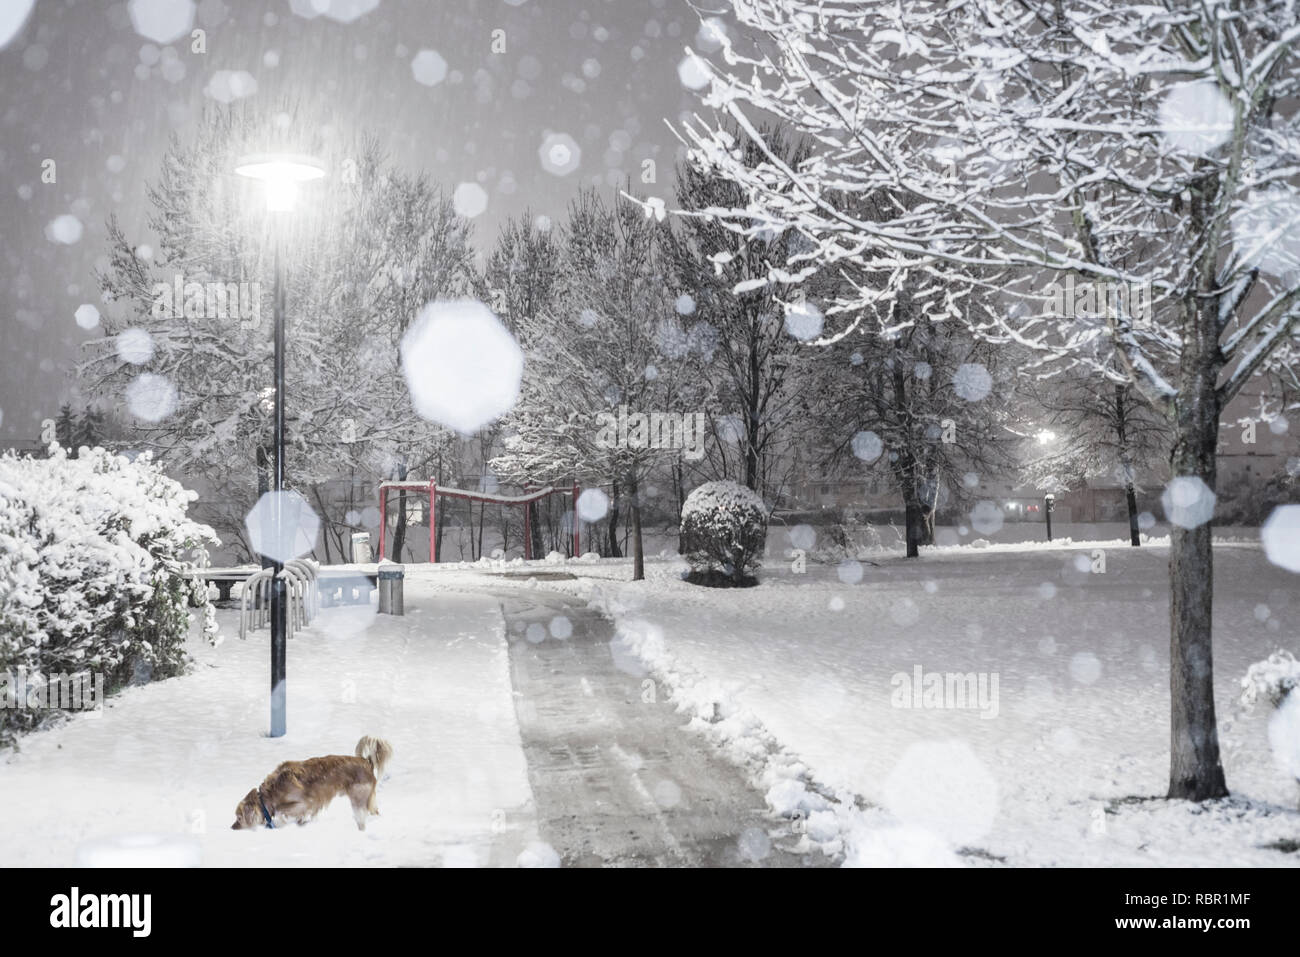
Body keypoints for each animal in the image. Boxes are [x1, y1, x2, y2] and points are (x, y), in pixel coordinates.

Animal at [231, 738, 390, 832]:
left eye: (239, 818)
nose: (232, 827)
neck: (269, 794)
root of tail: (367, 762)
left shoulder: (306, 802)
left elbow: (282, 810)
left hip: (358, 800)